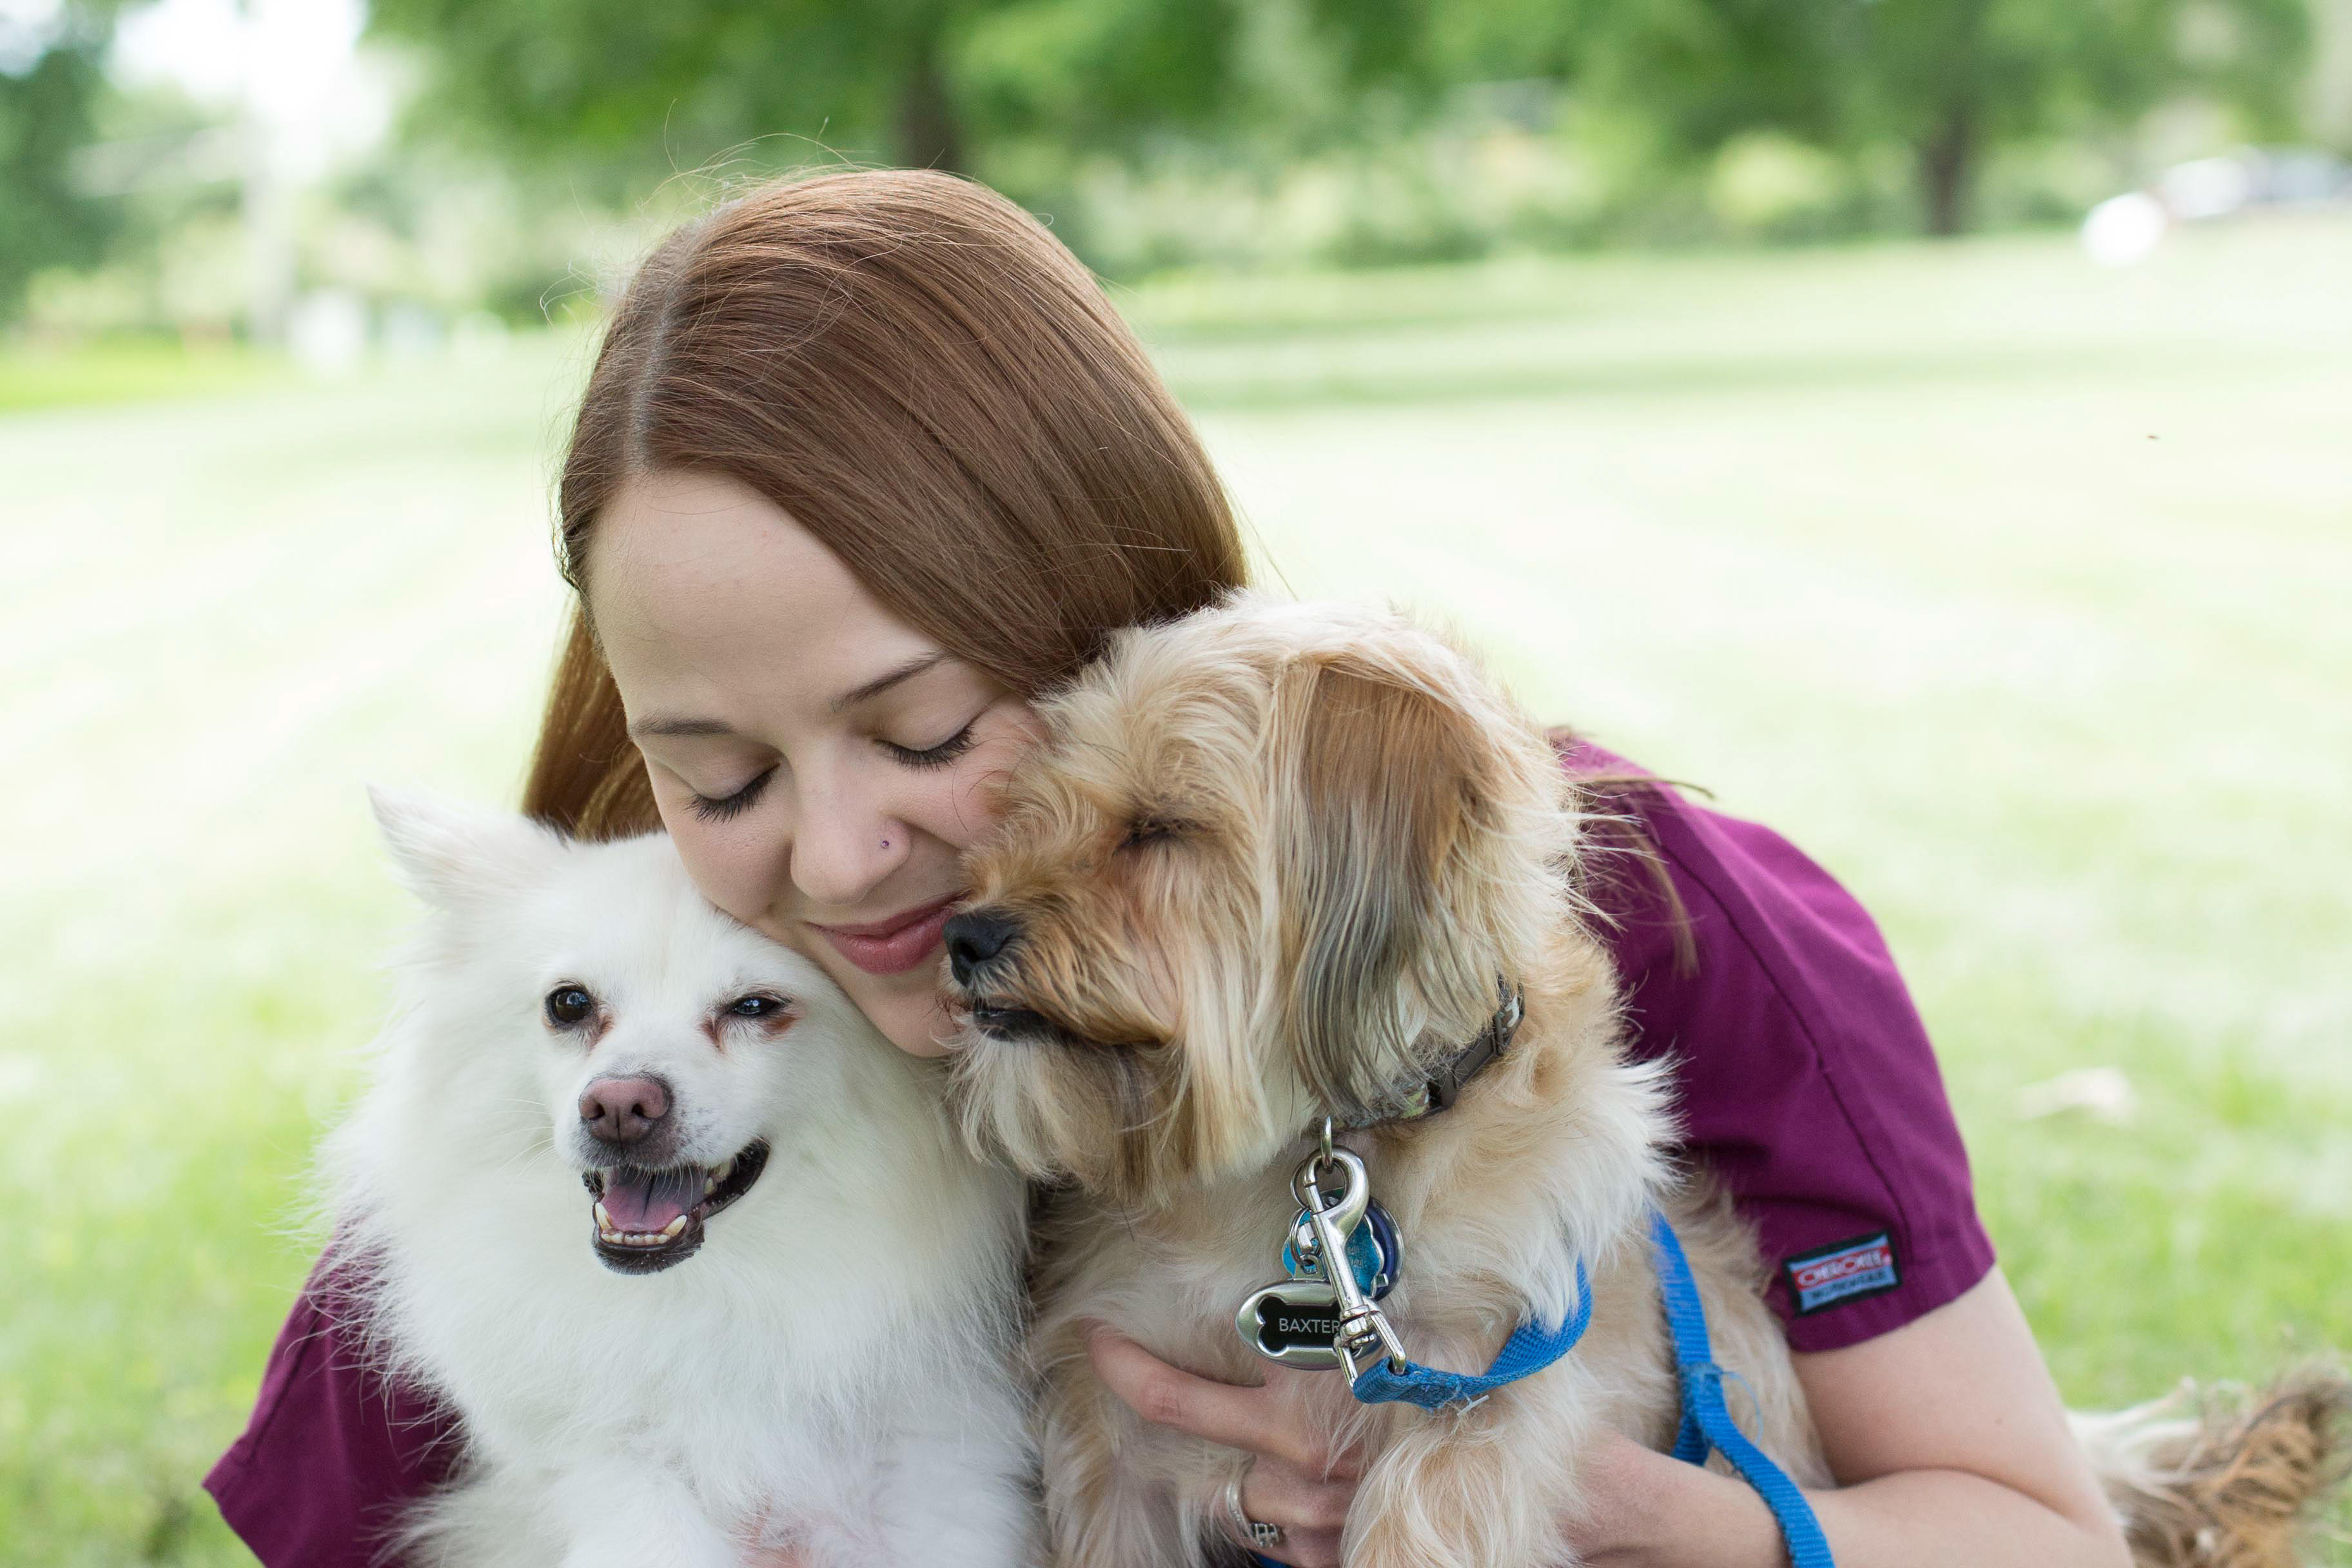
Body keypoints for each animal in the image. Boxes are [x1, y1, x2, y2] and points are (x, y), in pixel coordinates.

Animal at [945, 597, 2342, 1568]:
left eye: (1159, 829)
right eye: (1029, 809)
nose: (967, 934)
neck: (1317, 1165)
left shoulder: (1482, 1400)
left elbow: (1425, 1516)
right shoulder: (1111, 1437)